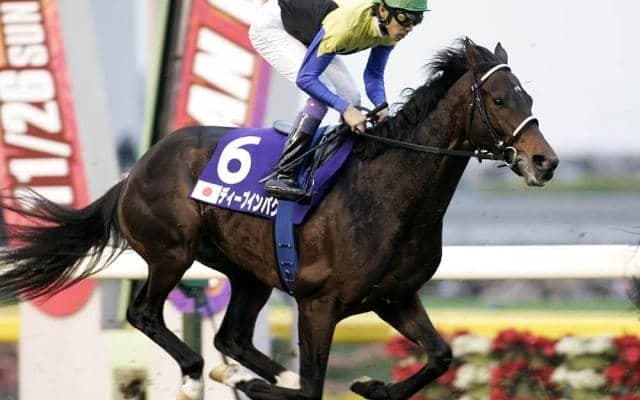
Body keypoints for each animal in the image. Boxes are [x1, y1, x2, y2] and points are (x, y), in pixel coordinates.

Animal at [0, 39, 558, 400]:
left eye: (529, 98)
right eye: (499, 99)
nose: (545, 161)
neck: (386, 194)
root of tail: (136, 169)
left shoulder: (393, 296)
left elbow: (440, 356)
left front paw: (372, 385)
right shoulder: (318, 303)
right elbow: (313, 389)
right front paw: (256, 382)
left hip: (249, 272)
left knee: (231, 337)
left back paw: (251, 374)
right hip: (171, 251)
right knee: (146, 314)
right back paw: (204, 375)